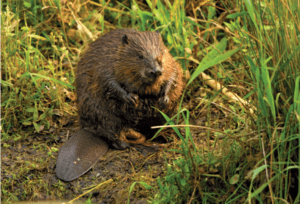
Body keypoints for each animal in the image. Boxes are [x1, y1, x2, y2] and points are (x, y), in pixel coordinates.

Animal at [55, 28, 184, 182]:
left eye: (162, 52)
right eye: (140, 56)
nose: (156, 71)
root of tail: (90, 130)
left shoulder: (171, 62)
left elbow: (173, 75)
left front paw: (163, 99)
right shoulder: (106, 64)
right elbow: (109, 82)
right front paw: (132, 99)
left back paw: (166, 136)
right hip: (105, 116)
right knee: (118, 141)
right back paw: (147, 145)